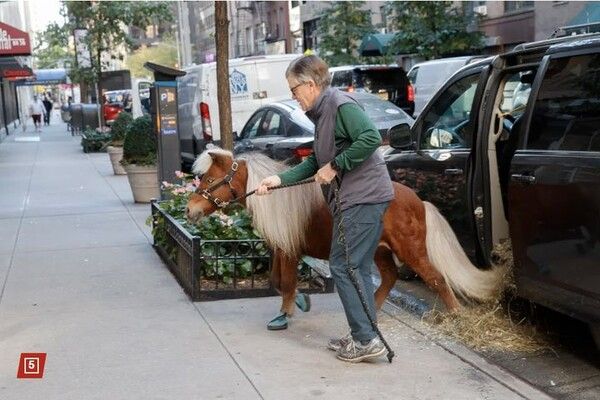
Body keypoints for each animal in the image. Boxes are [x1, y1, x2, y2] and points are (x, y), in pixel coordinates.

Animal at [186, 148, 505, 328]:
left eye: (210, 180)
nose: (190, 210)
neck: (278, 200)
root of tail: (420, 201)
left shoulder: (289, 251)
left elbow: (285, 283)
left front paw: (285, 315)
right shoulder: (281, 249)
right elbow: (277, 282)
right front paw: (300, 302)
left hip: (411, 250)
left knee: (436, 278)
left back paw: (456, 316)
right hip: (380, 251)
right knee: (390, 277)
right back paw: (372, 310)